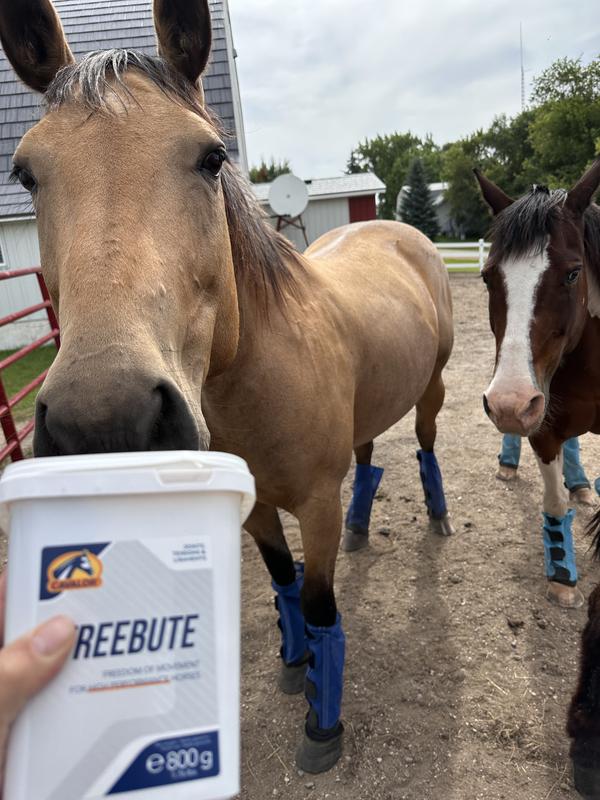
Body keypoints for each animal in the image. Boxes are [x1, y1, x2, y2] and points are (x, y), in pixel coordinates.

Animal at [0, 0, 455, 773]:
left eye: (212, 157)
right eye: (25, 172)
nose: (106, 423)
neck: (258, 383)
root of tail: (398, 229)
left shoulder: (314, 505)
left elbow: (320, 606)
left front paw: (322, 725)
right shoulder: (255, 511)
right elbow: (281, 583)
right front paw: (293, 665)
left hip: (434, 391)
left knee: (422, 447)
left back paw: (437, 514)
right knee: (367, 457)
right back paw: (364, 526)